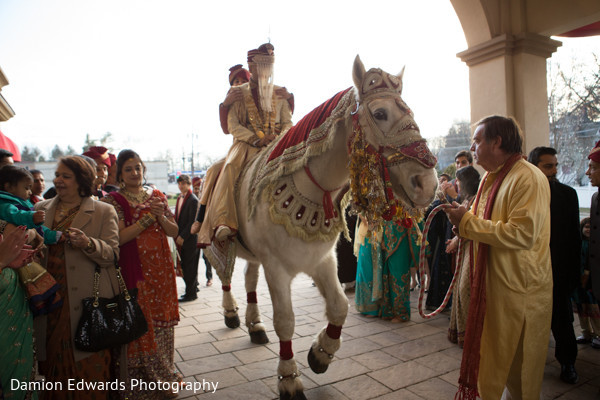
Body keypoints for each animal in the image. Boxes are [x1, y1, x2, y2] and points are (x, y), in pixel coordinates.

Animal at [205, 57, 436, 400]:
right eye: (380, 113)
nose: (428, 185)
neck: (308, 191)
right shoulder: (276, 267)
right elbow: (285, 320)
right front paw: (289, 378)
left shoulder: (323, 260)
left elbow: (339, 307)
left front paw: (320, 355)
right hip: (217, 240)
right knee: (225, 275)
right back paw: (232, 313)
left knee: (248, 277)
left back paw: (255, 325)